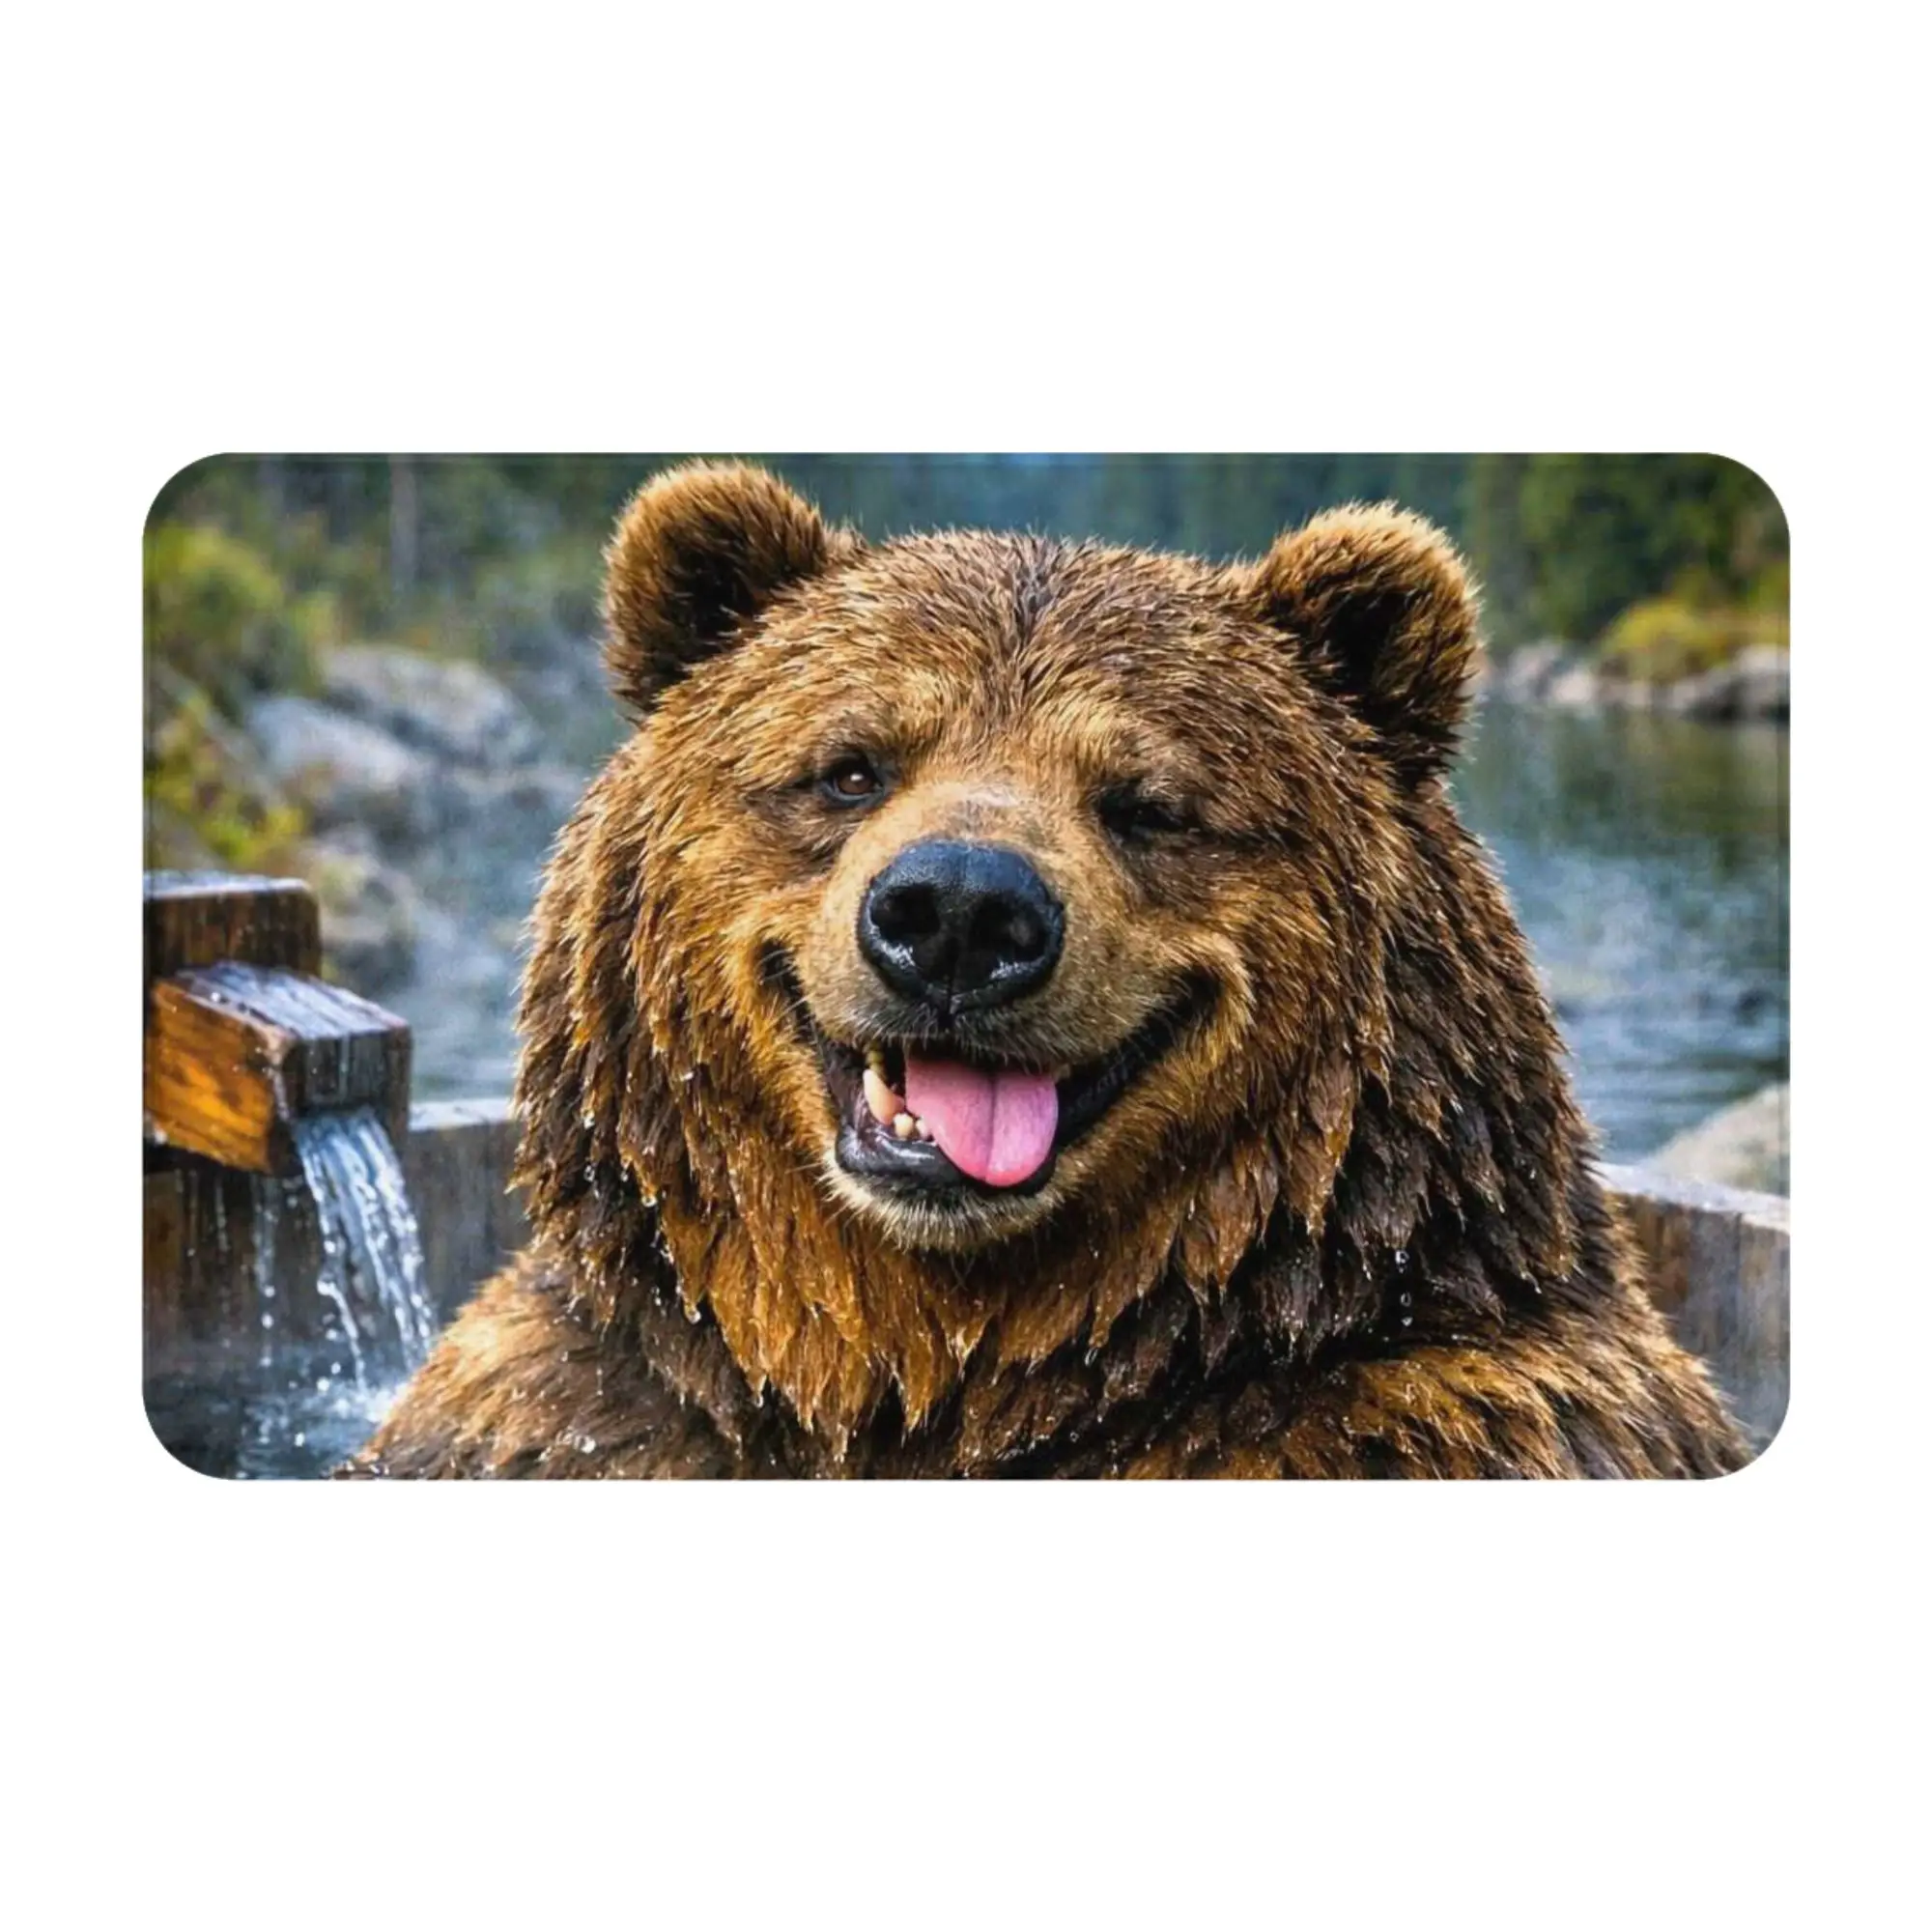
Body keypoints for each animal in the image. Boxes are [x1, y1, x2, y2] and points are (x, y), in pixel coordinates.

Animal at [347, 461, 1750, 1478]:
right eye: (849, 765)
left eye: (1147, 802)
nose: (960, 915)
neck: (941, 1368)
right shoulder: (582, 1417)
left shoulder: (1425, 1425)